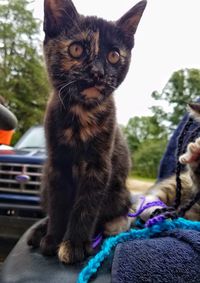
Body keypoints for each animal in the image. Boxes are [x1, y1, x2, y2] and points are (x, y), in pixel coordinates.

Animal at [27, 0, 147, 264]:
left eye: (114, 55)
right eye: (76, 50)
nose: (97, 72)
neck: (80, 117)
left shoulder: (99, 165)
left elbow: (87, 205)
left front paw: (74, 243)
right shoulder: (57, 165)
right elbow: (58, 204)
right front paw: (52, 239)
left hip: (120, 191)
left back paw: (112, 226)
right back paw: (39, 232)